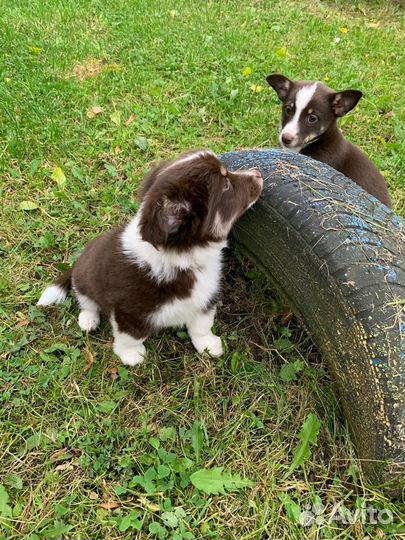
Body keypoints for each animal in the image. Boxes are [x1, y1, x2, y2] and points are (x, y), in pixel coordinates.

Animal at [37, 150, 262, 364]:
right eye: (226, 185)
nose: (258, 174)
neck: (183, 260)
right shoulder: (129, 312)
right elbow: (131, 336)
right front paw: (131, 355)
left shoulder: (205, 297)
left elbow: (202, 324)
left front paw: (207, 345)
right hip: (85, 279)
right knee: (86, 301)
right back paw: (88, 320)